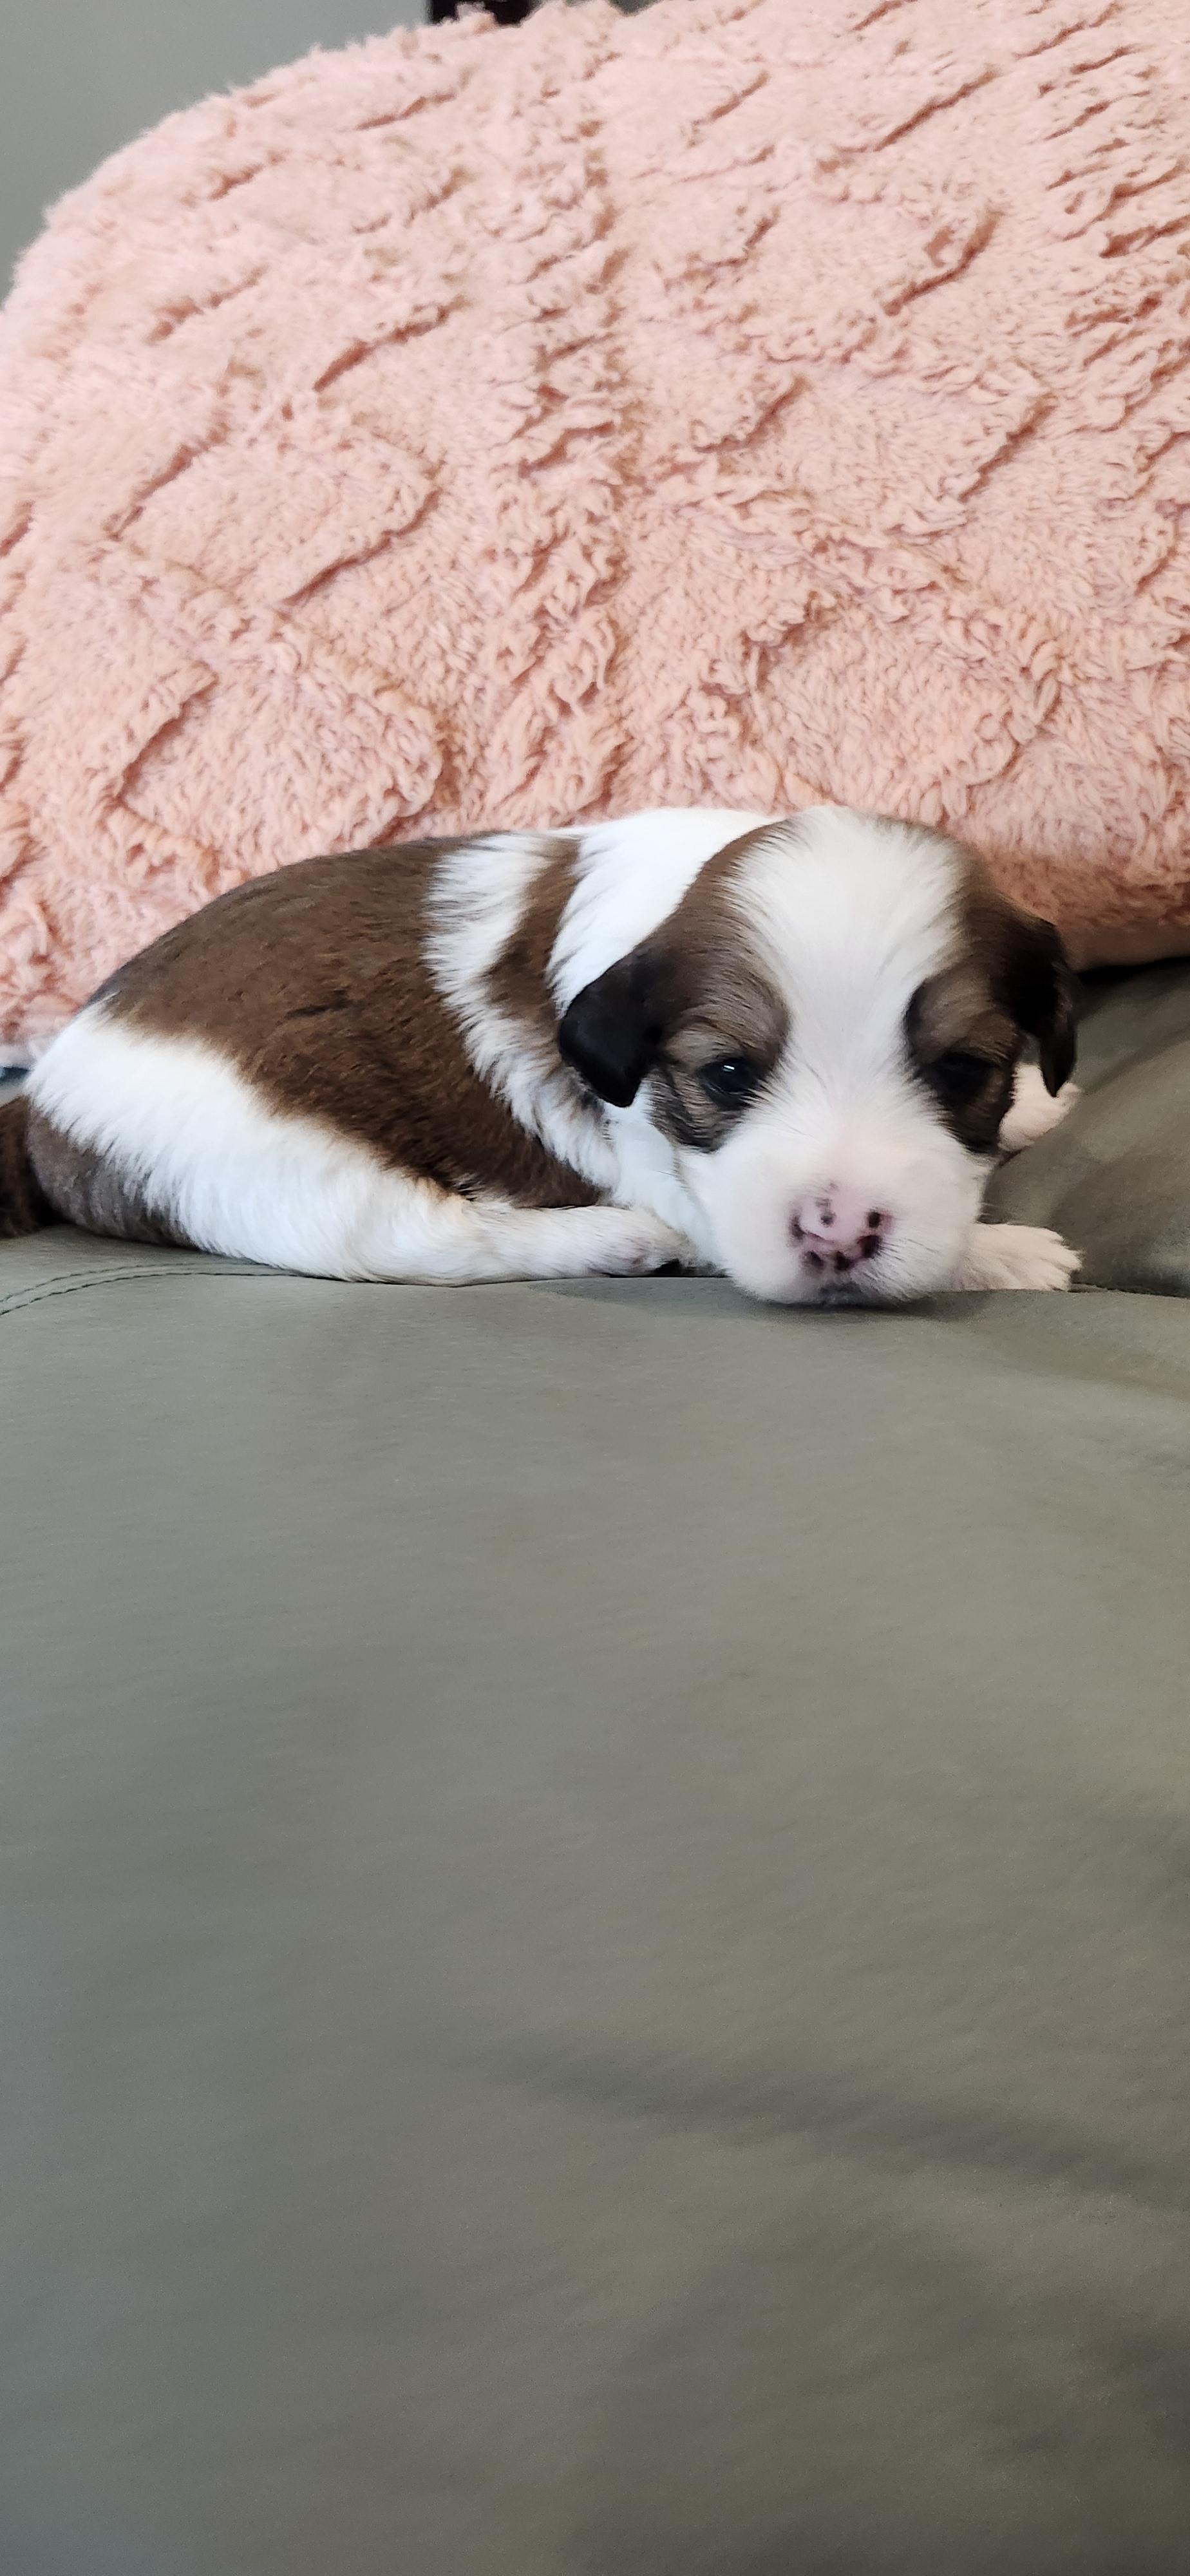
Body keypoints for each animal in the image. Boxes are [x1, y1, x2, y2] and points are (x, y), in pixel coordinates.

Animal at [0, 806, 1081, 1300]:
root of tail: (43, 1088)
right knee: (432, 1242)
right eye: (728, 1075)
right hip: (277, 1168)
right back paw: (620, 1243)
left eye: (964, 1072)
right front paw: (1004, 1252)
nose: (843, 1231)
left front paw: (1034, 1106)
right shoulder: (657, 1153)